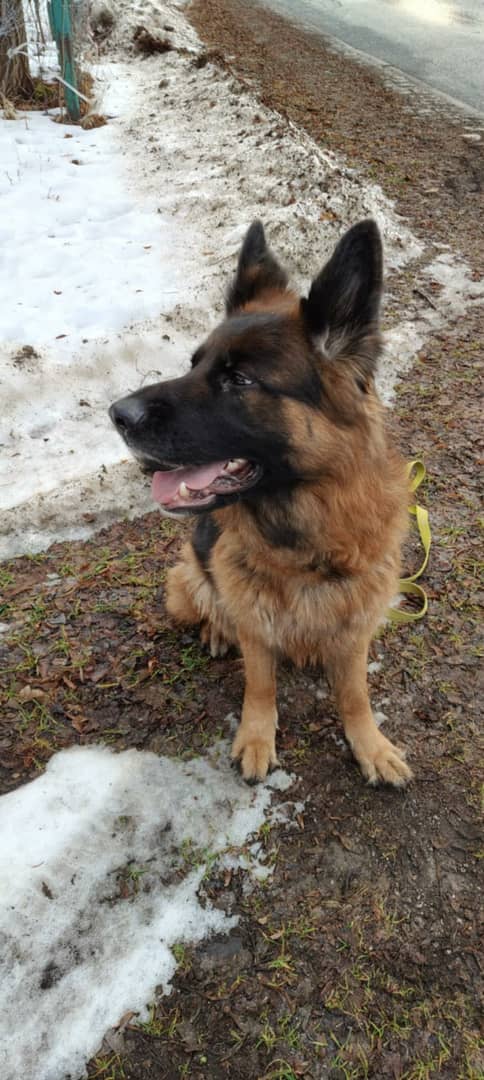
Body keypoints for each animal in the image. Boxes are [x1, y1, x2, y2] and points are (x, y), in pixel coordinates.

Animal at [109, 219, 412, 787]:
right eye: (194, 364)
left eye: (239, 379)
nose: (117, 414)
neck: (305, 544)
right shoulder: (255, 621)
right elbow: (261, 684)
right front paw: (255, 738)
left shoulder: (357, 626)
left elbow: (355, 693)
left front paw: (370, 744)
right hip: (188, 578)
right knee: (210, 605)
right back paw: (214, 630)